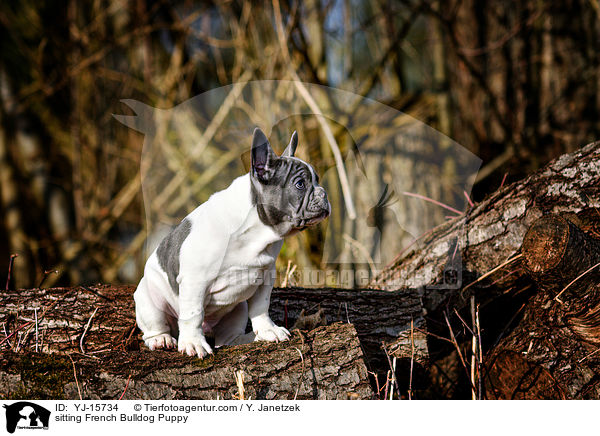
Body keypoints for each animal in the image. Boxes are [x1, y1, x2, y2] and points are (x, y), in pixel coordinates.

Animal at [135, 127, 330, 358]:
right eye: (300, 184)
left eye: (317, 180)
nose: (324, 193)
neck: (256, 230)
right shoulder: (194, 280)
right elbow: (193, 314)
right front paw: (193, 342)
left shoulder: (266, 275)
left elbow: (261, 306)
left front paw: (268, 330)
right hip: (149, 300)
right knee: (156, 326)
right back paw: (161, 339)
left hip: (238, 309)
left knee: (226, 339)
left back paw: (245, 338)